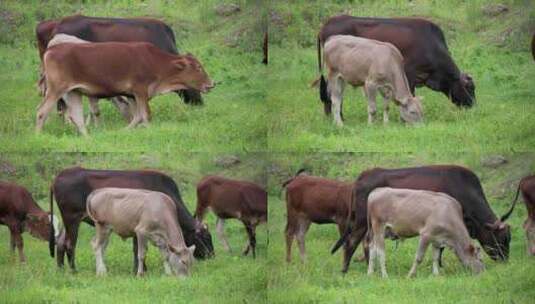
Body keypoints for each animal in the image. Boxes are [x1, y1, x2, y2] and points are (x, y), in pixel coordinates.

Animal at [37, 41, 215, 135]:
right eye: (198, 67)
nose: (211, 84)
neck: (155, 62)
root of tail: (51, 49)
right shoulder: (140, 90)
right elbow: (146, 115)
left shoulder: (132, 95)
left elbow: (137, 117)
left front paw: (125, 130)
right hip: (56, 90)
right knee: (41, 111)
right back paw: (38, 135)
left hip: (74, 92)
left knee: (76, 117)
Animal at [49, 167, 214, 272]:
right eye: (205, 237)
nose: (212, 256)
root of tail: (59, 176)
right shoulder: (140, 228)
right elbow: (138, 250)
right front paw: (139, 270)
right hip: (72, 220)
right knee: (70, 244)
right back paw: (73, 270)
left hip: (68, 222)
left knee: (60, 243)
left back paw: (60, 269)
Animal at [332, 165, 512, 274]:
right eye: (502, 238)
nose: (505, 261)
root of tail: (364, 175)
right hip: (362, 223)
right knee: (351, 243)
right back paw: (345, 270)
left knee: (367, 244)